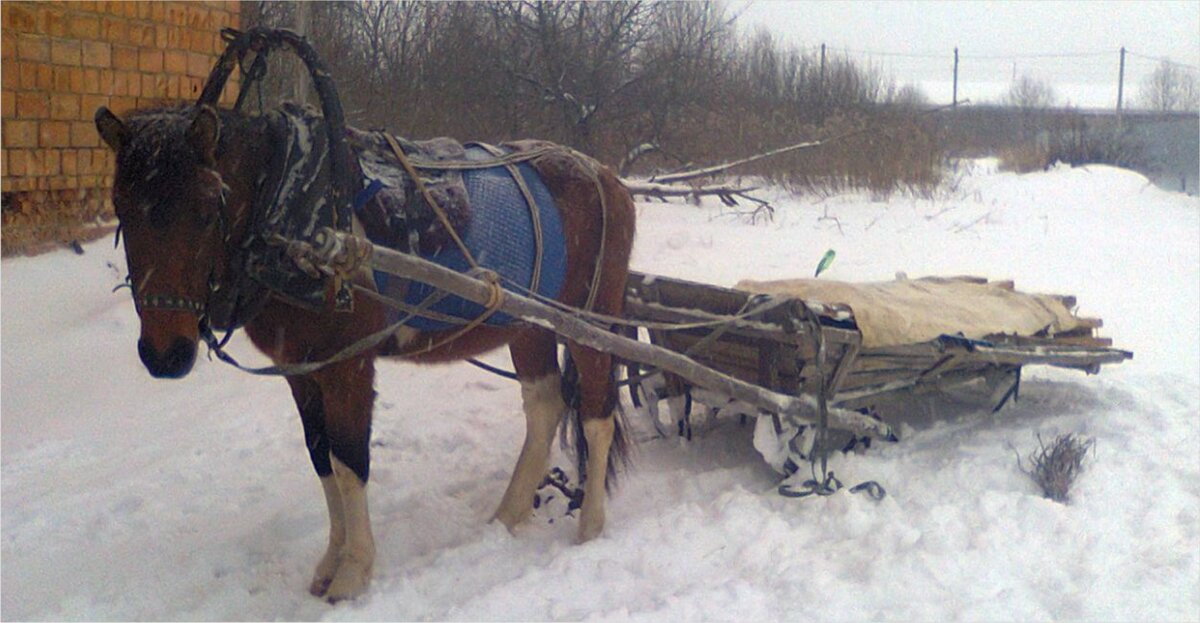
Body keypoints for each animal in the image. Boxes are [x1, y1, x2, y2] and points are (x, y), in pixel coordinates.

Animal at [92, 90, 633, 602]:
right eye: (121, 208)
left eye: (206, 211)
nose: (166, 354)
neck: (294, 218)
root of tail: (605, 176)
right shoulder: (301, 369)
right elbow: (322, 459)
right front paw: (331, 560)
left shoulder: (347, 367)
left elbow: (350, 463)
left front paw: (353, 572)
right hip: (530, 326)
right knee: (544, 406)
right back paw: (509, 513)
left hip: (587, 322)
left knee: (597, 415)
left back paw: (590, 524)